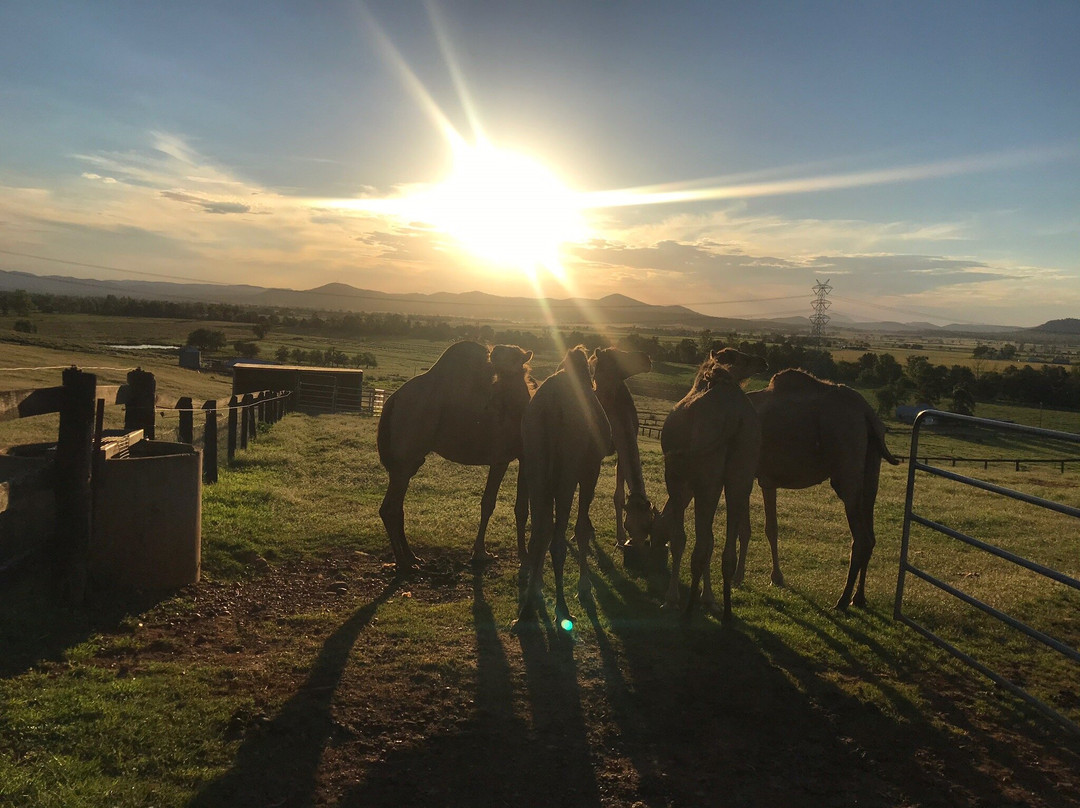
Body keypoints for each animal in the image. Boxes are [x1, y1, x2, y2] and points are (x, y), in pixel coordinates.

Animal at [377, 341, 535, 571]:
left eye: (514, 354)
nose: (495, 351)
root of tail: (391, 401)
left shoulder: (523, 455)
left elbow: (521, 508)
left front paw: (523, 555)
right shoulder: (500, 457)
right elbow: (488, 503)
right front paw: (481, 553)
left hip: (407, 463)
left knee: (397, 508)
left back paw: (413, 557)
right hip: (405, 459)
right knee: (389, 509)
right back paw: (404, 564)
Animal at [516, 346, 613, 628]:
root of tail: (550, 406)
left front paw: (538, 585)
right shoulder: (590, 470)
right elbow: (581, 528)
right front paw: (584, 587)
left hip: (536, 466)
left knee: (540, 531)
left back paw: (528, 605)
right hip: (566, 472)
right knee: (556, 538)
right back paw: (562, 608)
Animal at [589, 347, 656, 548]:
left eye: (649, 524)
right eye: (629, 525)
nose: (637, 544)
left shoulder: (620, 450)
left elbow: (619, 495)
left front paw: (619, 538)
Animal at [652, 348, 767, 623]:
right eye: (744, 358)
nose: (763, 362)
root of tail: (736, 417)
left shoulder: (678, 478)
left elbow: (679, 537)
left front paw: (672, 599)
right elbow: (711, 538)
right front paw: (710, 599)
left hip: (706, 477)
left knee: (700, 545)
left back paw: (688, 608)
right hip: (741, 473)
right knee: (724, 548)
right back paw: (726, 612)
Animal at [742, 369, 901, 609]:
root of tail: (868, 414)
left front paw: (742, 577)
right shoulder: (766, 478)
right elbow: (771, 527)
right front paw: (776, 578)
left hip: (845, 455)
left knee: (861, 537)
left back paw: (842, 600)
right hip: (872, 463)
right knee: (871, 532)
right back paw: (858, 598)